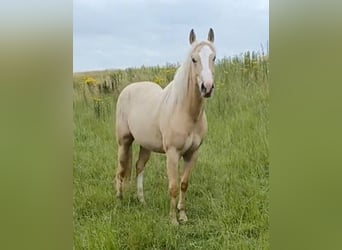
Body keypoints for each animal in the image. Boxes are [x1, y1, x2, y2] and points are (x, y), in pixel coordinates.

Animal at [115, 28, 216, 226]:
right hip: (124, 142)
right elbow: (173, 186)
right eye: (193, 59)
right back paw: (119, 198)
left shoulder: (193, 153)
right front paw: (173, 221)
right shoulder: (172, 154)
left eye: (213, 58)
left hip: (145, 145)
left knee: (139, 167)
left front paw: (183, 215)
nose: (207, 88)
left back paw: (141, 200)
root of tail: (128, 89)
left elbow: (184, 184)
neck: (185, 112)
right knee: (121, 168)